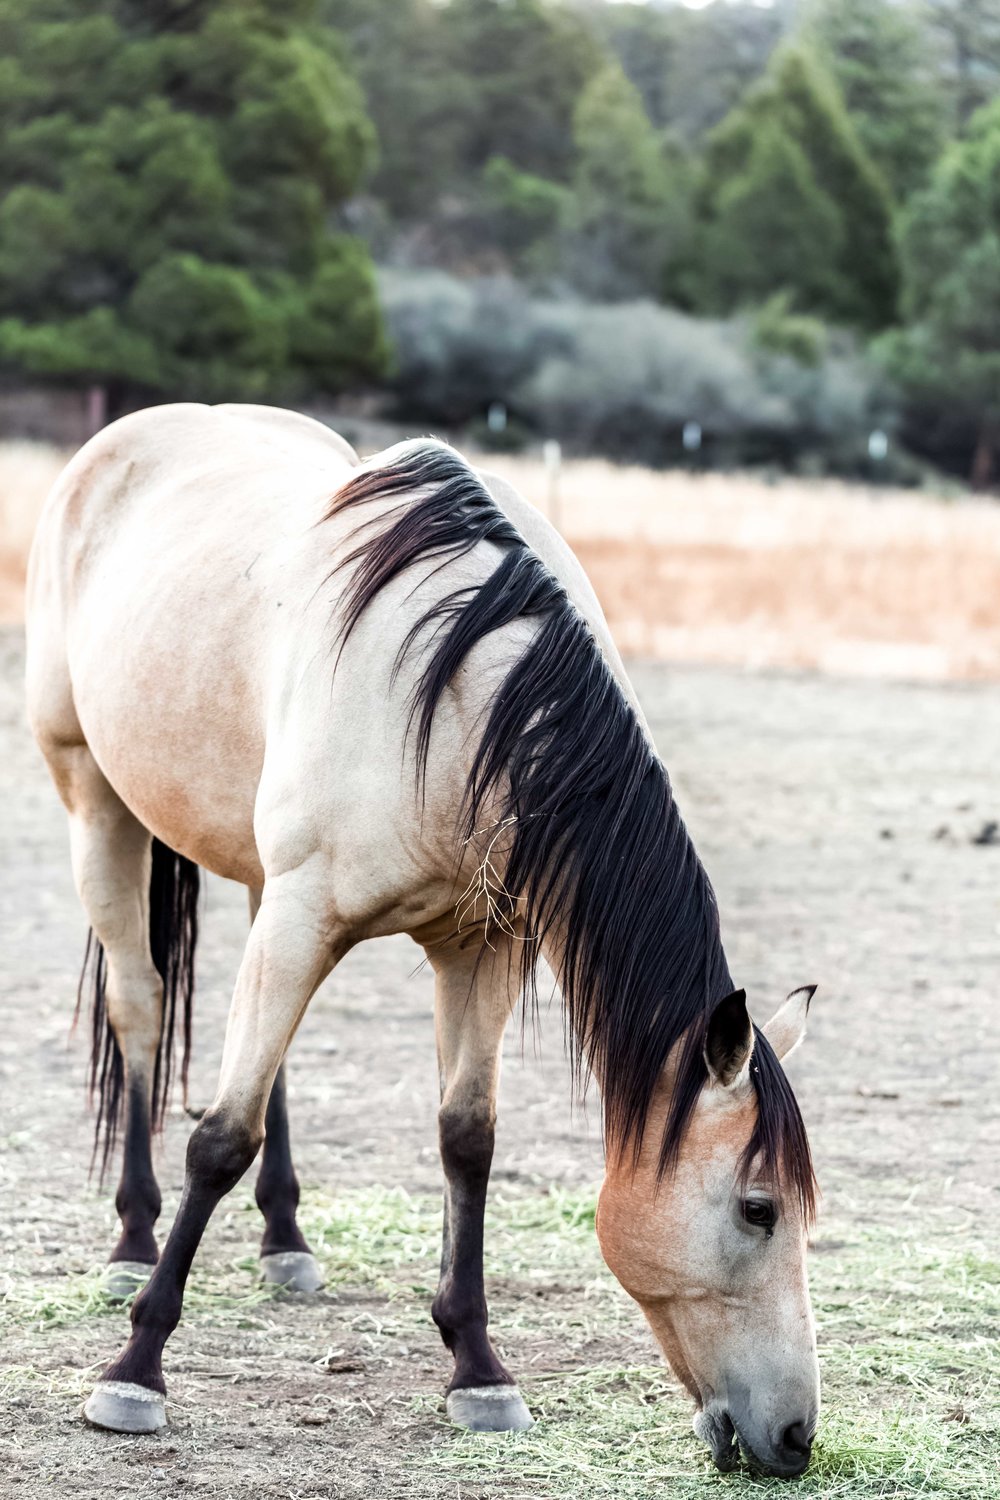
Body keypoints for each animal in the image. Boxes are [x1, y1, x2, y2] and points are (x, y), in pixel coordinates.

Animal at [25, 405, 821, 1482]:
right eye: (757, 1209)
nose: (797, 1437)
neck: (457, 694)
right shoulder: (305, 913)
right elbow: (218, 1138)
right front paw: (134, 1372)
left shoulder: (478, 945)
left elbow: (465, 1139)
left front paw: (479, 1370)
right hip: (96, 804)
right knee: (141, 1009)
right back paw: (131, 1244)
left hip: (258, 877)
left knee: (262, 1054)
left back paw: (285, 1240)